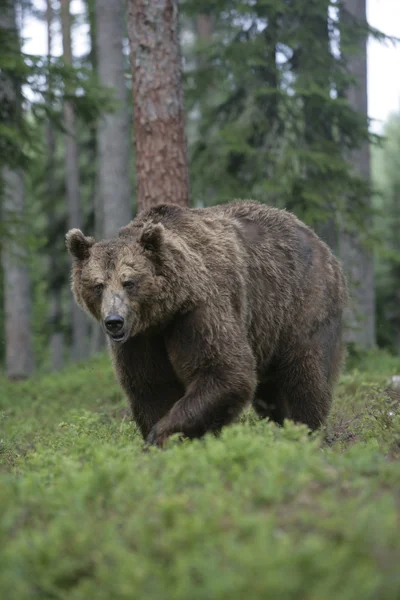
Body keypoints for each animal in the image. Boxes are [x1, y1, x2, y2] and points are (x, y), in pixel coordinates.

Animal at [65, 200, 346, 446]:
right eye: (98, 285)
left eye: (129, 282)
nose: (114, 321)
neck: (164, 314)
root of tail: (320, 241)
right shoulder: (141, 339)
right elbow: (151, 386)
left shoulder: (199, 312)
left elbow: (224, 371)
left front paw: (160, 435)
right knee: (271, 392)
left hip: (301, 303)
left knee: (304, 373)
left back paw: (305, 430)